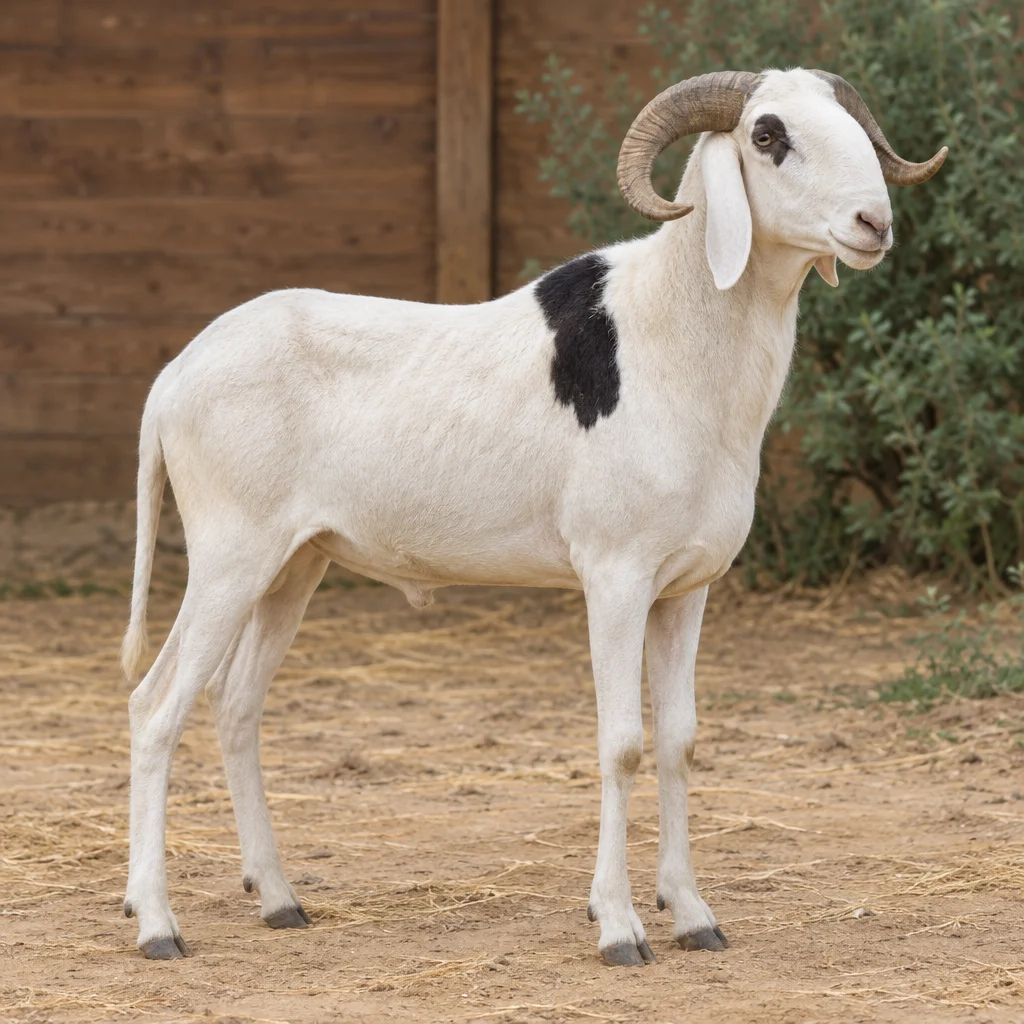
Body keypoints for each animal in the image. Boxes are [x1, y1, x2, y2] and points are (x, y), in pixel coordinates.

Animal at [120, 67, 946, 965]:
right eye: (768, 136)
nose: (874, 224)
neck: (671, 341)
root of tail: (173, 377)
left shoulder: (686, 589)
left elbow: (679, 741)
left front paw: (693, 915)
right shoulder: (615, 578)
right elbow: (622, 744)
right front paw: (619, 928)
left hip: (293, 565)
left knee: (235, 710)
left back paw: (276, 899)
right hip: (230, 556)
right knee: (155, 709)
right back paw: (156, 923)